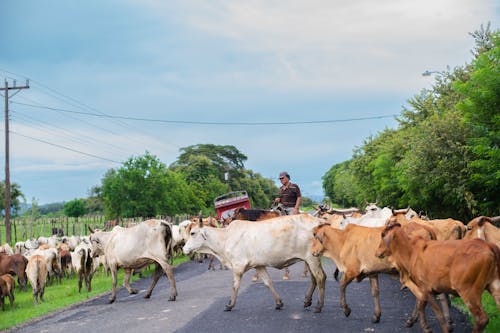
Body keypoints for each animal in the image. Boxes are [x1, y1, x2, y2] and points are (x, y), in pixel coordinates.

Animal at [182, 213, 326, 312]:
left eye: (193, 233)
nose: (184, 249)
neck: (225, 239)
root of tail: (318, 221)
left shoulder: (238, 267)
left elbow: (235, 286)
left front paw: (230, 305)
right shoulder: (259, 265)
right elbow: (268, 283)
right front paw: (279, 303)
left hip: (312, 258)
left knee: (320, 277)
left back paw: (319, 306)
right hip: (310, 259)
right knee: (314, 279)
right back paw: (307, 301)